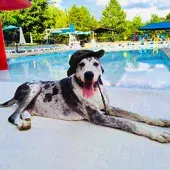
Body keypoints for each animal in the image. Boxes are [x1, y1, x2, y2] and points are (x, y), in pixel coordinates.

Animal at [0, 49, 170, 143]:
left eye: (95, 64)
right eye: (81, 64)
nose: (89, 74)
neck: (92, 91)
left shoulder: (108, 108)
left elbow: (135, 114)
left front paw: (158, 121)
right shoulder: (98, 116)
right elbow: (130, 123)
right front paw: (157, 133)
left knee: (23, 112)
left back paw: (26, 119)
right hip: (35, 87)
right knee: (13, 116)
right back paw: (21, 123)